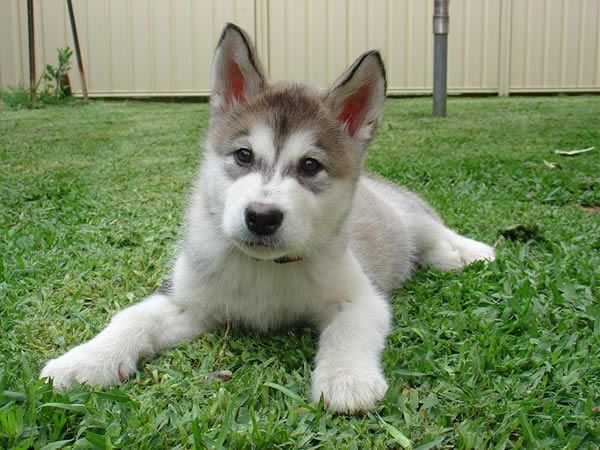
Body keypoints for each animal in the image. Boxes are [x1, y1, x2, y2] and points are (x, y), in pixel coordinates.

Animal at [39, 22, 494, 414]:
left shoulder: (361, 298)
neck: (264, 270)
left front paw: (347, 380)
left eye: (310, 166)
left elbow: (348, 330)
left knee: (436, 228)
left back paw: (469, 253)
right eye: (243, 155)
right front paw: (85, 360)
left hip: (405, 215)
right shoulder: (188, 302)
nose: (261, 217)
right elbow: (133, 318)